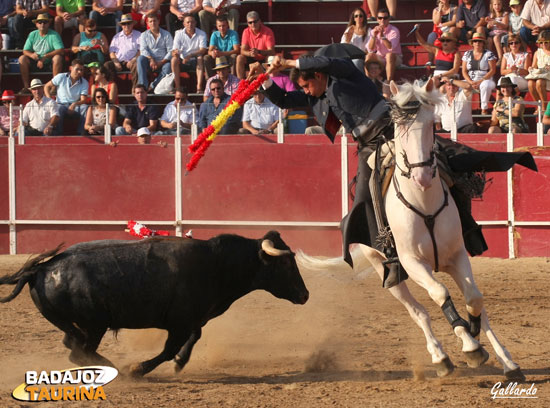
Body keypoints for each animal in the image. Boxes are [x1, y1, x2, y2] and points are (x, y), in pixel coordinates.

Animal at [0, 230, 310, 376]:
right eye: (285, 263)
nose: (305, 295)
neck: (216, 263)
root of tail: (40, 269)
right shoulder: (180, 323)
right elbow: (169, 348)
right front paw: (137, 369)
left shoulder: (192, 319)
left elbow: (194, 338)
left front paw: (180, 363)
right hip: (94, 325)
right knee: (80, 352)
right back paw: (115, 369)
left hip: (75, 325)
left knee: (73, 346)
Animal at [302, 78, 528, 380]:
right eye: (398, 126)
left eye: (432, 124)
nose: (421, 176)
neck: (423, 200)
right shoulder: (412, 262)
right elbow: (440, 294)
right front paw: (470, 347)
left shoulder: (457, 256)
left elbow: (475, 300)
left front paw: (484, 343)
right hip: (386, 270)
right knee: (418, 311)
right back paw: (441, 357)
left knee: (474, 306)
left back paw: (505, 361)